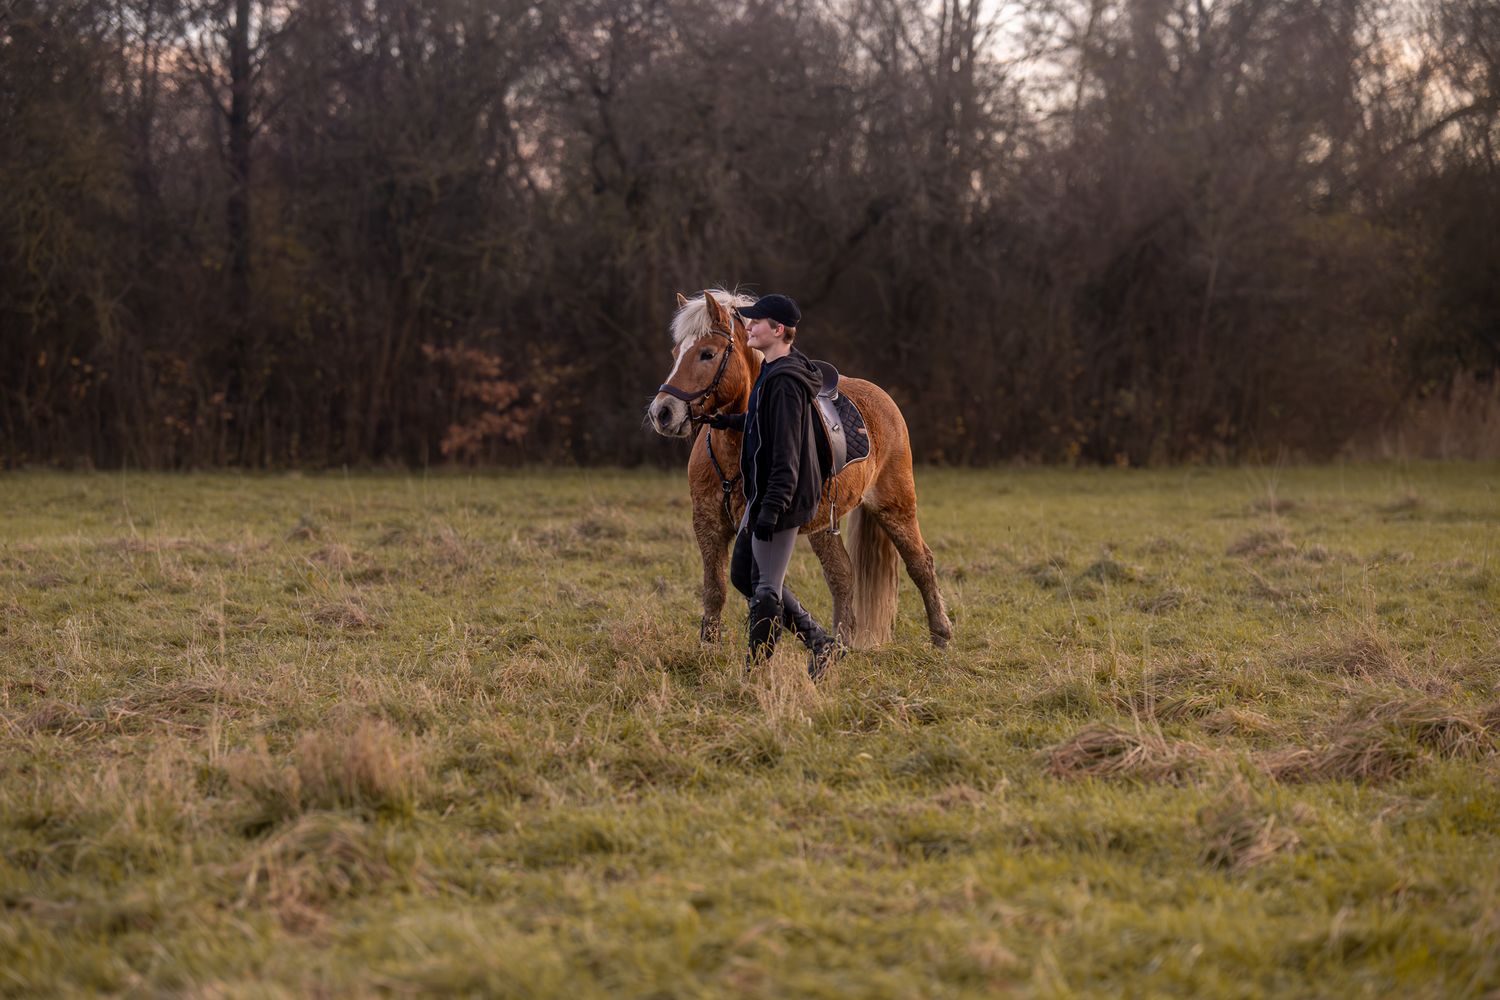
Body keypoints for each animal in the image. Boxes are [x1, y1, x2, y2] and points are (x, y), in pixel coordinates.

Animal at [647, 288, 952, 652]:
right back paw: (841, 642)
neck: (736, 450)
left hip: (895, 506)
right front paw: (708, 649)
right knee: (842, 575)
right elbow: (715, 589)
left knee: (921, 563)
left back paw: (940, 635)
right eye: (676, 353)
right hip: (824, 526)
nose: (662, 412)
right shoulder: (708, 525)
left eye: (707, 354)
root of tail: (884, 399)